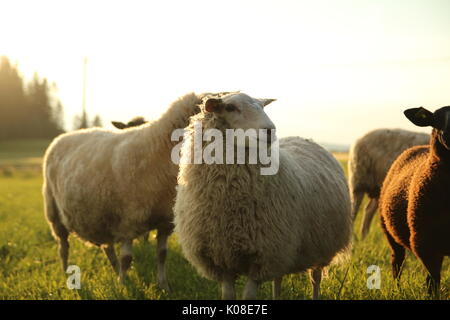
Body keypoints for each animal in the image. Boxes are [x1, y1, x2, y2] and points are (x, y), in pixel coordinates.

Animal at [42, 90, 227, 288]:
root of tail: (61, 137)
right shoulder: (128, 222)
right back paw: (66, 272)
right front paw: (123, 285)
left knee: (107, 248)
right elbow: (127, 259)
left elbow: (162, 255)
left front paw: (163, 284)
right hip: (54, 213)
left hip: (99, 214)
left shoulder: (164, 222)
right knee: (63, 247)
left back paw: (114, 270)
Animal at [172, 92, 352, 300]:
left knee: (315, 278)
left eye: (262, 107)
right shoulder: (221, 259)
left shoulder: (262, 257)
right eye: (231, 107)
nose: (270, 131)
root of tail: (305, 138)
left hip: (319, 247)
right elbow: (228, 295)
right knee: (278, 279)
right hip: (284, 249)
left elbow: (249, 296)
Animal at [380, 105, 450, 298]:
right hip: (389, 231)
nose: (447, 135)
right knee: (397, 261)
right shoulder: (424, 243)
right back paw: (396, 289)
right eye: (436, 120)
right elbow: (433, 282)